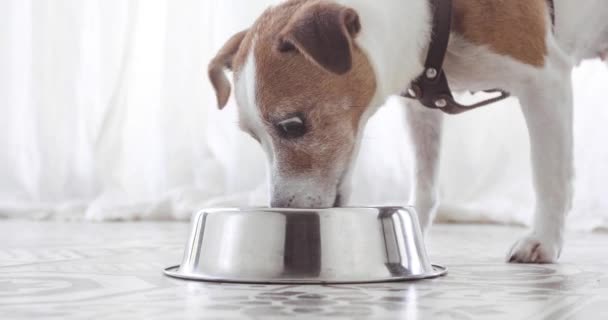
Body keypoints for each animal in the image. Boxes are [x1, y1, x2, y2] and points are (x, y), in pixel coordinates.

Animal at [208, 0, 608, 262]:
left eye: (291, 125)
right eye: (253, 136)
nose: (280, 207)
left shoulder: (544, 82)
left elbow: (549, 178)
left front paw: (543, 240)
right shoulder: (422, 108)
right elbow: (425, 184)